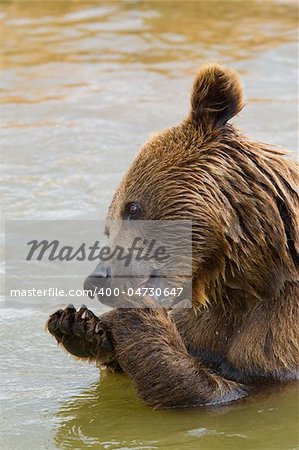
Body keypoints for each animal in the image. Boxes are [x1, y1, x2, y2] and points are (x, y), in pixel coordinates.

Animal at [45, 64, 298, 412]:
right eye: (108, 226)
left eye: (133, 207)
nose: (97, 279)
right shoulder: (205, 324)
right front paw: (77, 324)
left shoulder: (280, 338)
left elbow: (222, 390)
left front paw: (134, 313)